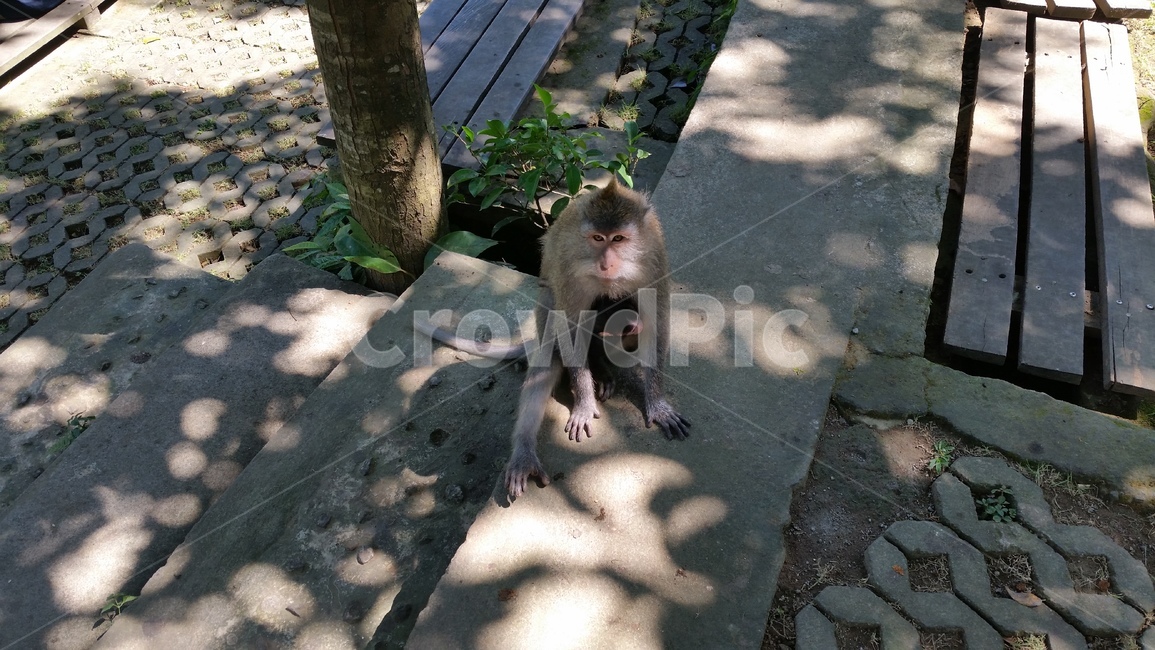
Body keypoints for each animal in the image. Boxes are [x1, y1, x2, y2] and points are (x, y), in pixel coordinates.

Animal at [415, 179, 690, 498]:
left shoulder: (653, 262)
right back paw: (525, 454)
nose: (606, 264)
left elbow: (655, 325)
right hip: (544, 316)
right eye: (598, 238)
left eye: (619, 238)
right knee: (549, 355)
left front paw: (657, 403)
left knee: (629, 322)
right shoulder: (571, 274)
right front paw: (584, 403)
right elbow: (570, 328)